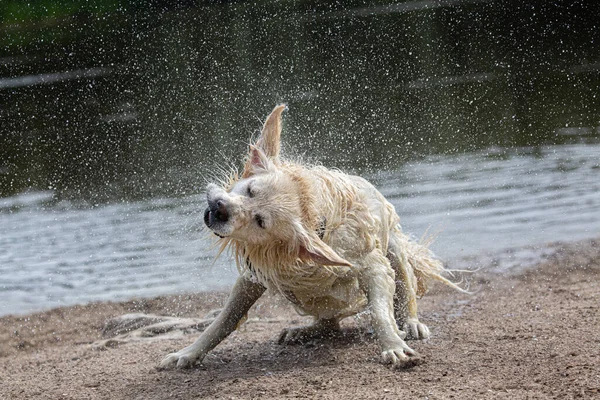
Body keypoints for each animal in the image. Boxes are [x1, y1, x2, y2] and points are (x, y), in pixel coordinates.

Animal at [158, 104, 460, 370]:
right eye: (251, 190)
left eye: (260, 221)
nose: (221, 209)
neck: (315, 220)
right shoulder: (255, 273)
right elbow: (223, 320)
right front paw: (189, 353)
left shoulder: (371, 265)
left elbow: (379, 311)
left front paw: (392, 344)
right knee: (328, 322)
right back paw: (305, 331)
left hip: (393, 247)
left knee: (404, 281)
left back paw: (411, 323)